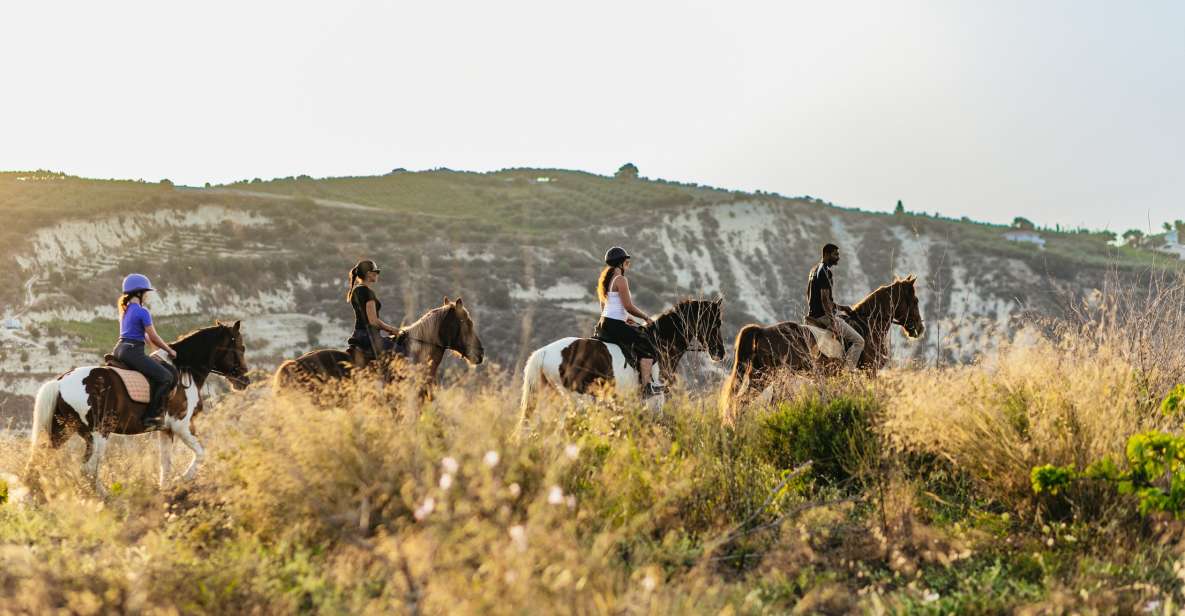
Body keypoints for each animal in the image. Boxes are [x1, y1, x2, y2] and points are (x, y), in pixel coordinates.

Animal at [25, 319, 248, 492]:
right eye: (241, 348)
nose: (245, 381)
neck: (185, 368)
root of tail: (60, 382)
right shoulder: (182, 425)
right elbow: (201, 453)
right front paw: (182, 480)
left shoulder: (166, 430)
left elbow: (165, 463)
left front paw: (165, 488)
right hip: (97, 434)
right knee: (88, 468)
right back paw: (108, 497)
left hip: (61, 432)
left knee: (39, 462)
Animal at [521, 299, 725, 424]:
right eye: (716, 323)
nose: (720, 353)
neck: (660, 341)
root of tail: (544, 352)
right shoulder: (656, 397)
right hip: (574, 398)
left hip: (552, 395)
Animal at [715, 276, 929, 424]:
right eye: (916, 301)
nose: (919, 329)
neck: (869, 323)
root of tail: (762, 331)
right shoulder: (871, 371)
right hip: (770, 375)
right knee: (744, 402)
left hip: (762, 374)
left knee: (743, 401)